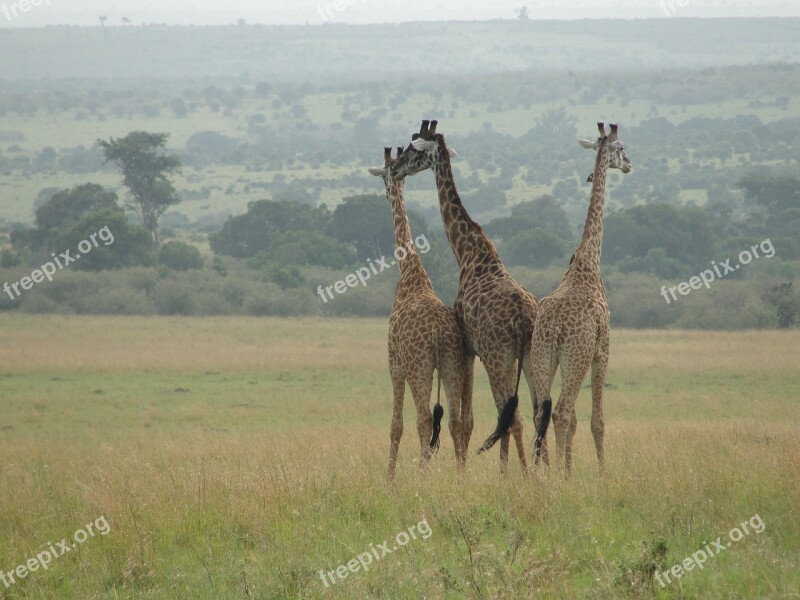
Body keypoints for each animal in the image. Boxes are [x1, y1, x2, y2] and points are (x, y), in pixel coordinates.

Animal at [368, 144, 472, 478]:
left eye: (383, 178)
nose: (385, 193)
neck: (410, 272)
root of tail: (438, 336)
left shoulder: (394, 362)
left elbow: (396, 425)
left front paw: (389, 478)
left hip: (420, 366)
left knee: (425, 418)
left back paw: (423, 476)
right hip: (452, 362)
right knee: (454, 420)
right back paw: (460, 475)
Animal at [390, 119, 536, 472]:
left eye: (414, 150)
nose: (396, 169)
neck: (469, 252)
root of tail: (524, 319)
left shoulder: (469, 348)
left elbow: (466, 419)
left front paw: (465, 469)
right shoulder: (472, 351)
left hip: (498, 356)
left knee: (512, 417)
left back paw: (518, 475)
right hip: (531, 355)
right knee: (538, 411)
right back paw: (542, 470)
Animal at [536, 122, 636, 478]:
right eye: (621, 148)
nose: (629, 164)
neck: (588, 260)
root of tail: (554, 328)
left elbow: (579, 422)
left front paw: (569, 468)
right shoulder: (601, 351)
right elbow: (596, 421)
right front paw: (602, 473)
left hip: (543, 356)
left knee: (541, 411)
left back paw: (542, 473)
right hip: (576, 357)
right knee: (561, 411)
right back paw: (559, 476)